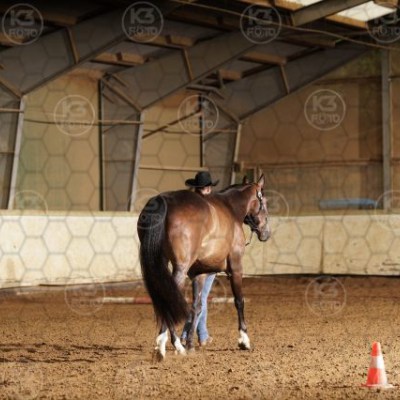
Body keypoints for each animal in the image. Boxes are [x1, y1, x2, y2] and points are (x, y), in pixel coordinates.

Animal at [137, 175, 270, 360]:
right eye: (264, 201)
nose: (266, 233)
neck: (231, 208)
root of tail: (163, 200)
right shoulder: (236, 268)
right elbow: (239, 301)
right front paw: (244, 340)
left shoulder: (198, 274)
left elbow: (196, 307)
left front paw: (191, 343)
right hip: (179, 269)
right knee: (168, 298)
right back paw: (172, 345)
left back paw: (168, 344)